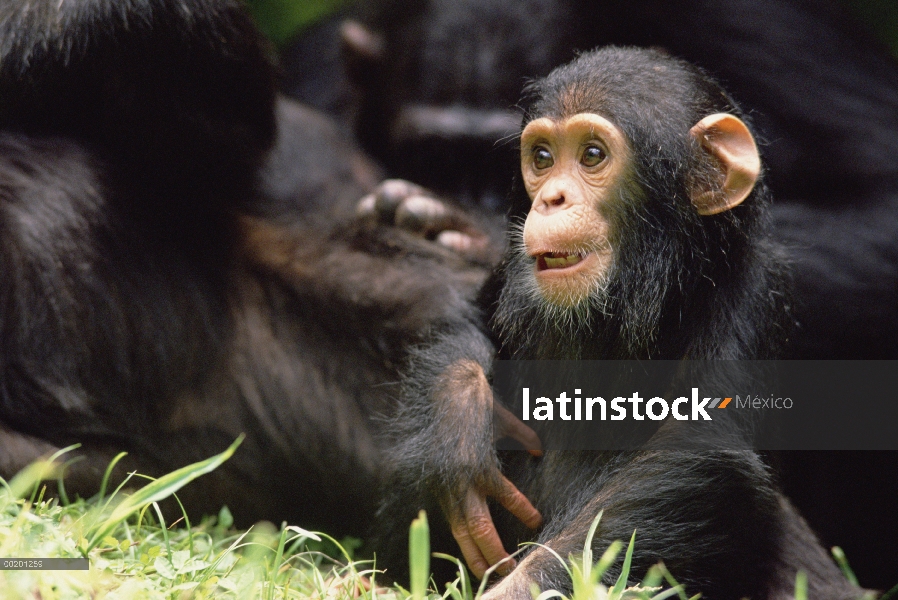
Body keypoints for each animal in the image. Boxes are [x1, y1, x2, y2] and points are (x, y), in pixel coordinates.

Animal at [284, 0, 896, 584]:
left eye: (593, 155)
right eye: (542, 157)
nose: (551, 197)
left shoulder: (748, 301)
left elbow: (694, 453)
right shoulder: (507, 276)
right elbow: (468, 321)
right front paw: (456, 420)